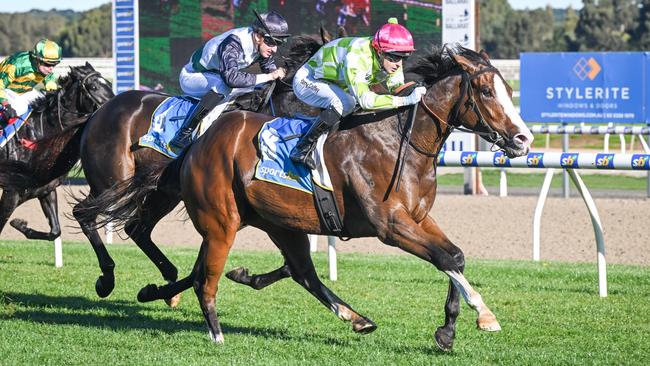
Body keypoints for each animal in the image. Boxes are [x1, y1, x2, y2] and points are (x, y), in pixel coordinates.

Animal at [0, 64, 114, 243]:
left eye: (109, 84)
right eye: (93, 87)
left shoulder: (44, 189)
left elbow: (55, 231)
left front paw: (20, 224)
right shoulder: (11, 191)